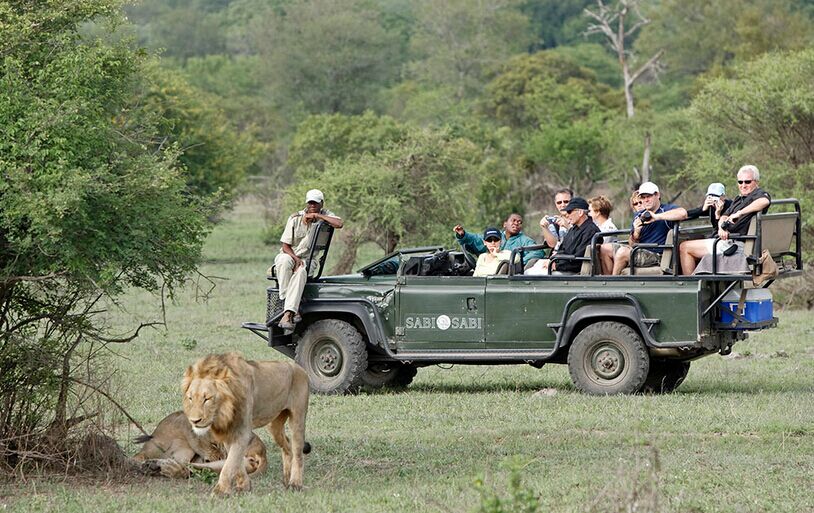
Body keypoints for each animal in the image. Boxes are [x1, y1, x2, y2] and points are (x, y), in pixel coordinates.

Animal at [132, 410, 270, 478]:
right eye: (214, 444)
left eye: (223, 446)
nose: (222, 456)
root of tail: (262, 451)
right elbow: (137, 457)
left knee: (189, 466)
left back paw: (162, 467)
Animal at [183, 352, 310, 492]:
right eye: (190, 398)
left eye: (207, 399)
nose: (194, 421)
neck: (224, 411)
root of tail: (301, 369)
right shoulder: (229, 432)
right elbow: (236, 461)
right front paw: (244, 485)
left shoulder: (242, 431)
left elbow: (230, 463)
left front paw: (220, 491)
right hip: (274, 425)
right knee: (287, 445)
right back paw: (286, 477)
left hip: (298, 418)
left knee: (297, 451)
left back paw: (295, 483)